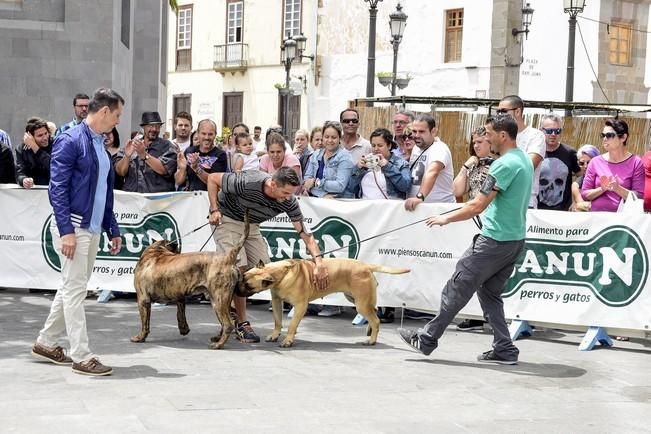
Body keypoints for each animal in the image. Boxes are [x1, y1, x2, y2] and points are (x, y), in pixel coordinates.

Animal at [131, 211, 250, 350]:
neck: (157, 250)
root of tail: (228, 257)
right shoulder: (179, 296)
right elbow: (180, 314)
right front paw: (184, 329)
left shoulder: (143, 300)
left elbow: (145, 323)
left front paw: (140, 337)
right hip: (223, 300)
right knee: (228, 319)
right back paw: (218, 338)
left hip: (218, 300)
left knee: (228, 324)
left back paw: (218, 344)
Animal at [242, 260, 410, 348]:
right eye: (244, 276)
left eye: (248, 285)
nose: (238, 284)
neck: (281, 273)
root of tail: (366, 266)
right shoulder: (277, 301)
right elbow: (277, 321)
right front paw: (274, 335)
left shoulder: (300, 306)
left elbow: (291, 326)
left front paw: (288, 340)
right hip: (357, 299)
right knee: (373, 313)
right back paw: (369, 332)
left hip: (361, 303)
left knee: (375, 320)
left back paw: (371, 340)